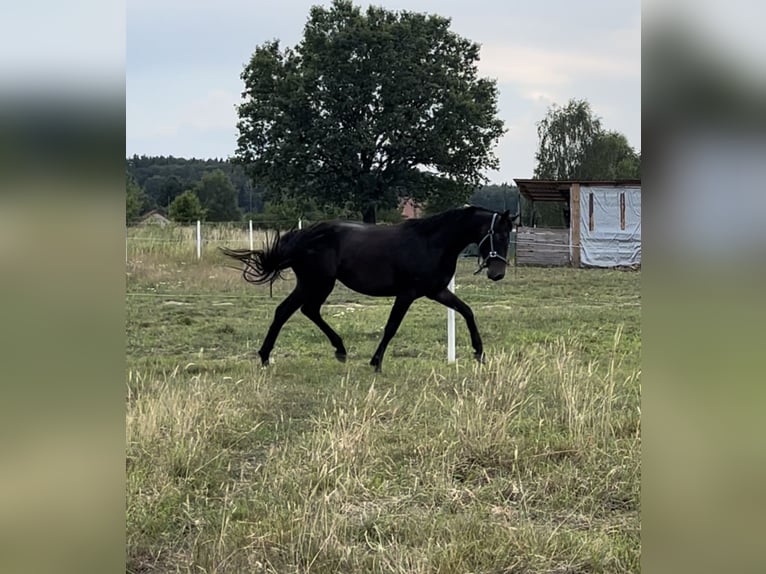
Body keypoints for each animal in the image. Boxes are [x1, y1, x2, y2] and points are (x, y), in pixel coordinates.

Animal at [225, 207, 520, 374]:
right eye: (498, 235)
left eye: (509, 236)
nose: (497, 273)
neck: (432, 242)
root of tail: (300, 235)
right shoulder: (408, 293)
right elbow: (391, 327)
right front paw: (376, 362)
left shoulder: (436, 291)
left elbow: (467, 311)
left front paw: (479, 353)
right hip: (318, 283)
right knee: (299, 310)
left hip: (313, 284)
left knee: (293, 310)